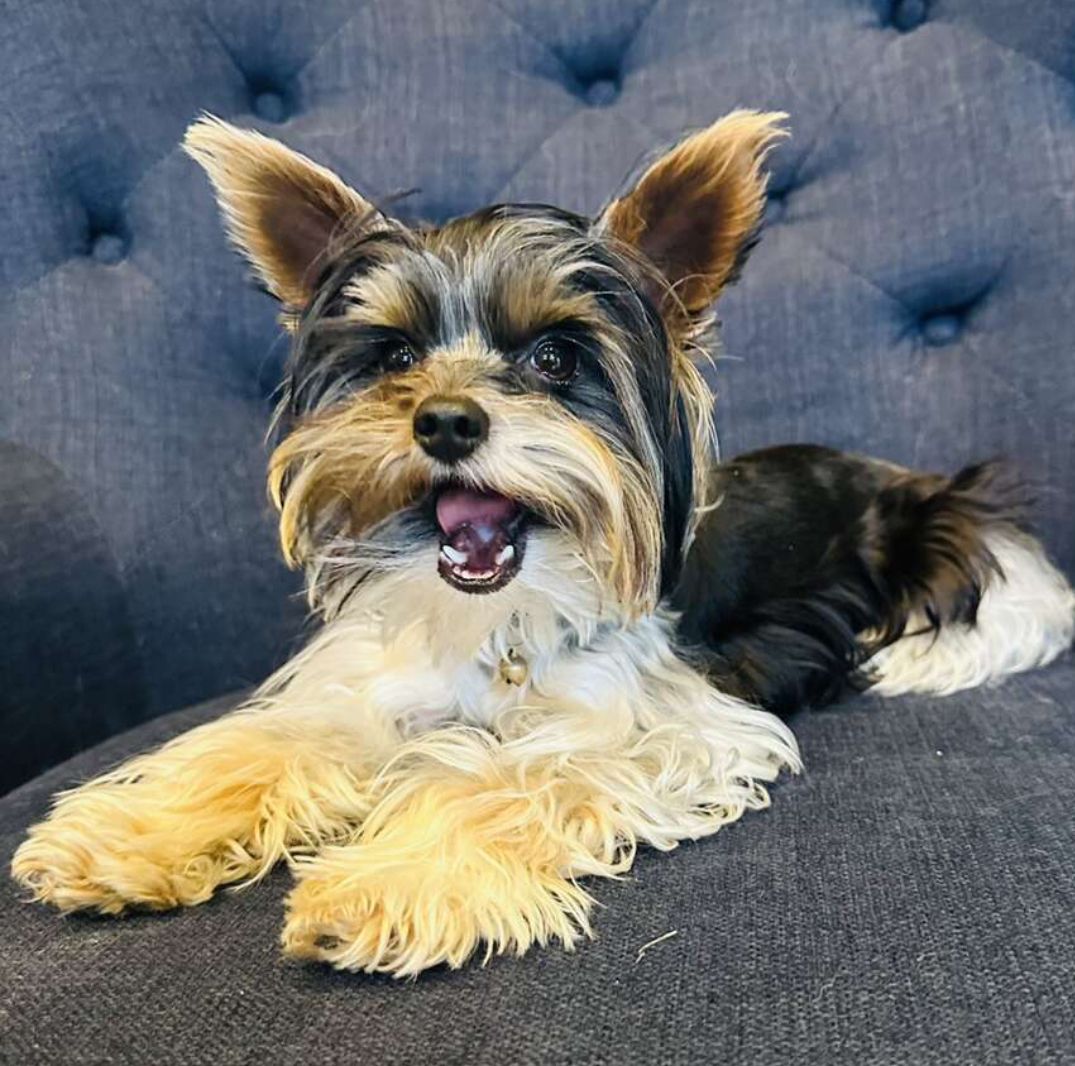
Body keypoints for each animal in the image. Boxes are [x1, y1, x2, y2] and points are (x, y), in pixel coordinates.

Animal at [12, 111, 1074, 977]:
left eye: (556, 359)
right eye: (395, 356)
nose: (444, 420)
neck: (502, 621)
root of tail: (898, 474)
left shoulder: (670, 724)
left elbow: (505, 773)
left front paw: (390, 882)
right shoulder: (371, 689)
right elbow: (268, 745)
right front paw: (130, 838)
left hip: (933, 537)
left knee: (1013, 600)